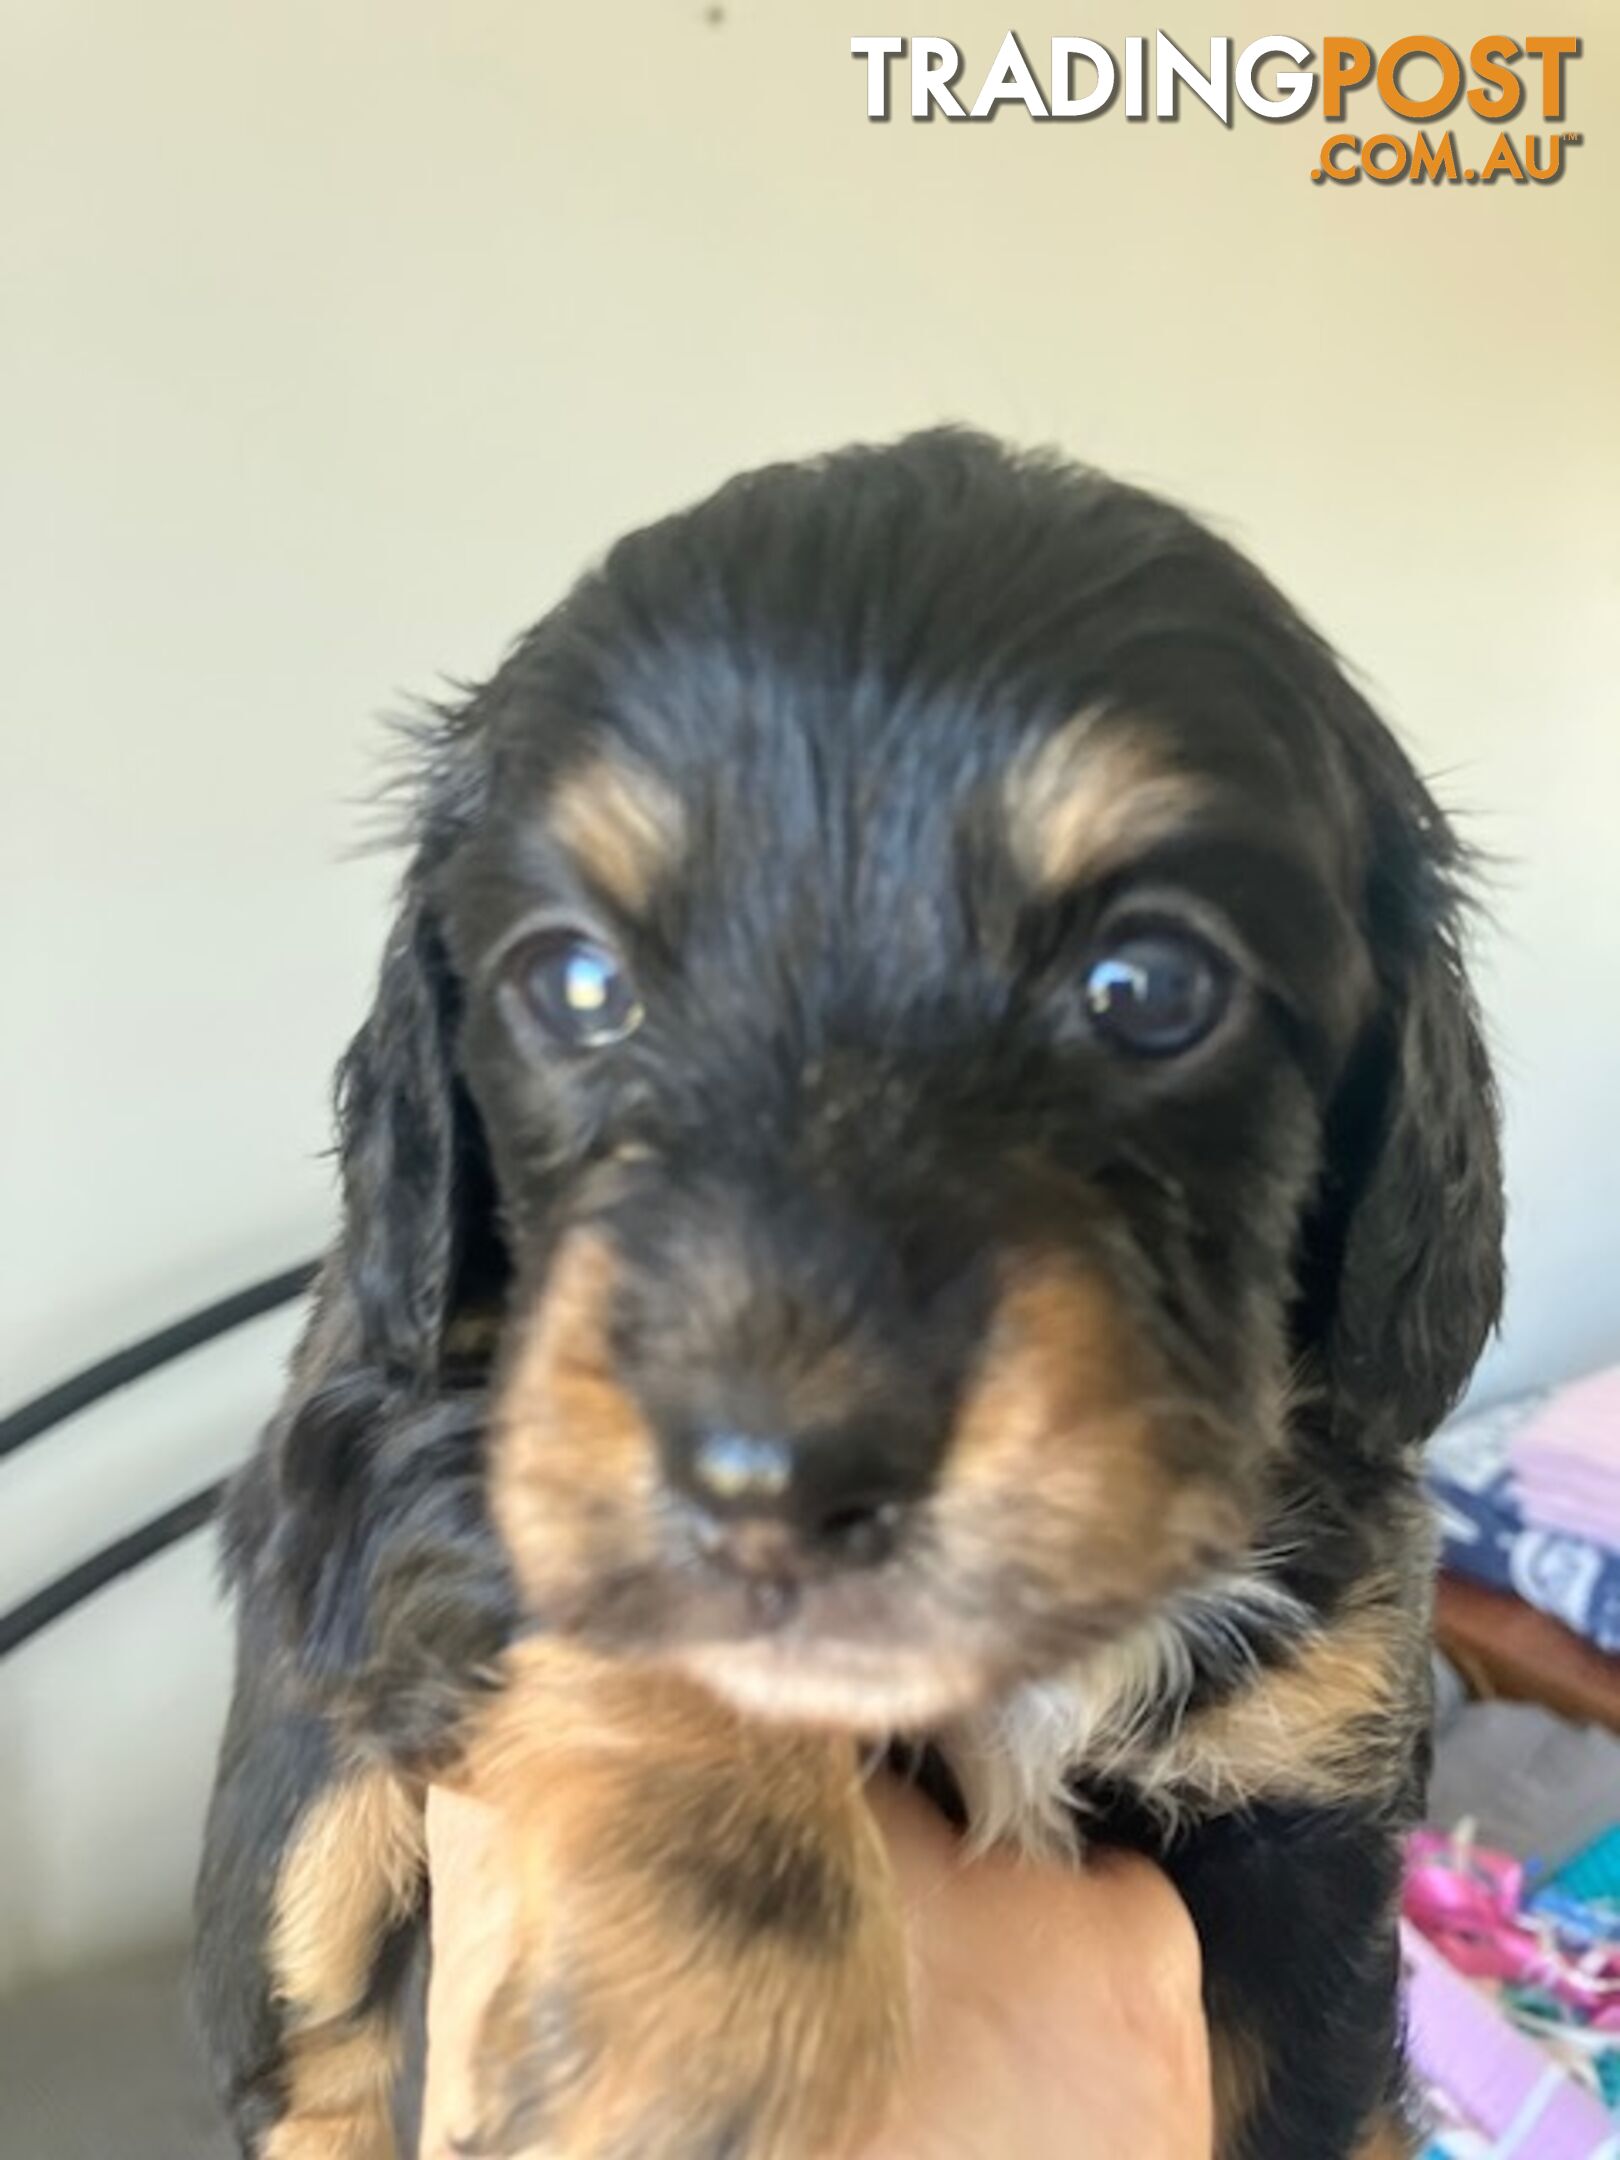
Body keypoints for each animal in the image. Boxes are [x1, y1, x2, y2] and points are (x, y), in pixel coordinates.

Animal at [196, 425, 1503, 2160]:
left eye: (1152, 986)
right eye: (579, 984)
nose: (778, 1480)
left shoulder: (1307, 1819)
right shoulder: (358, 1408)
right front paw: (696, 2009)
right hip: (289, 1821)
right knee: (309, 2037)